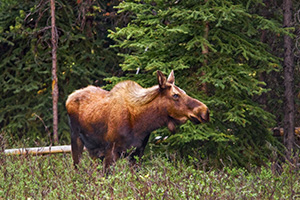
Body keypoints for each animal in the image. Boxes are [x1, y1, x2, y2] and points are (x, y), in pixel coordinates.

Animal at [66, 70, 210, 170]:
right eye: (175, 95)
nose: (205, 111)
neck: (142, 124)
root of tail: (69, 97)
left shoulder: (137, 153)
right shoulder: (111, 151)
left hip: (94, 150)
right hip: (76, 139)